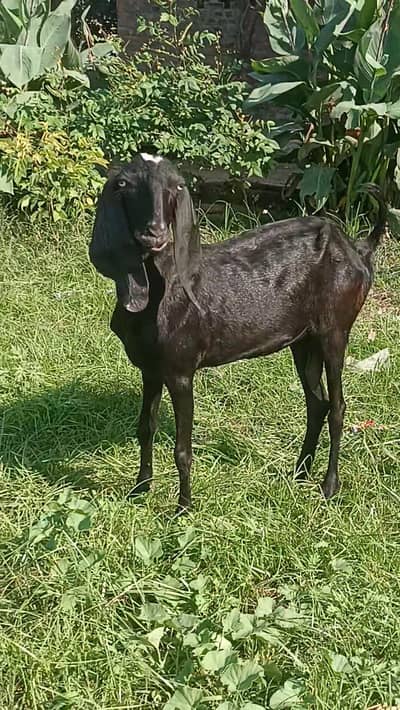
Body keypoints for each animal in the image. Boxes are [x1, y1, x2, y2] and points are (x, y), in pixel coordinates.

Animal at [89, 153, 386, 515]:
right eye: (124, 184)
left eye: (176, 187)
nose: (154, 233)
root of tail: (358, 248)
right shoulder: (150, 369)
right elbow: (145, 427)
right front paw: (139, 490)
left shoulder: (180, 371)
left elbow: (182, 449)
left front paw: (183, 509)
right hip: (304, 341)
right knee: (318, 404)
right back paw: (299, 473)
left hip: (335, 332)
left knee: (338, 407)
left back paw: (329, 486)